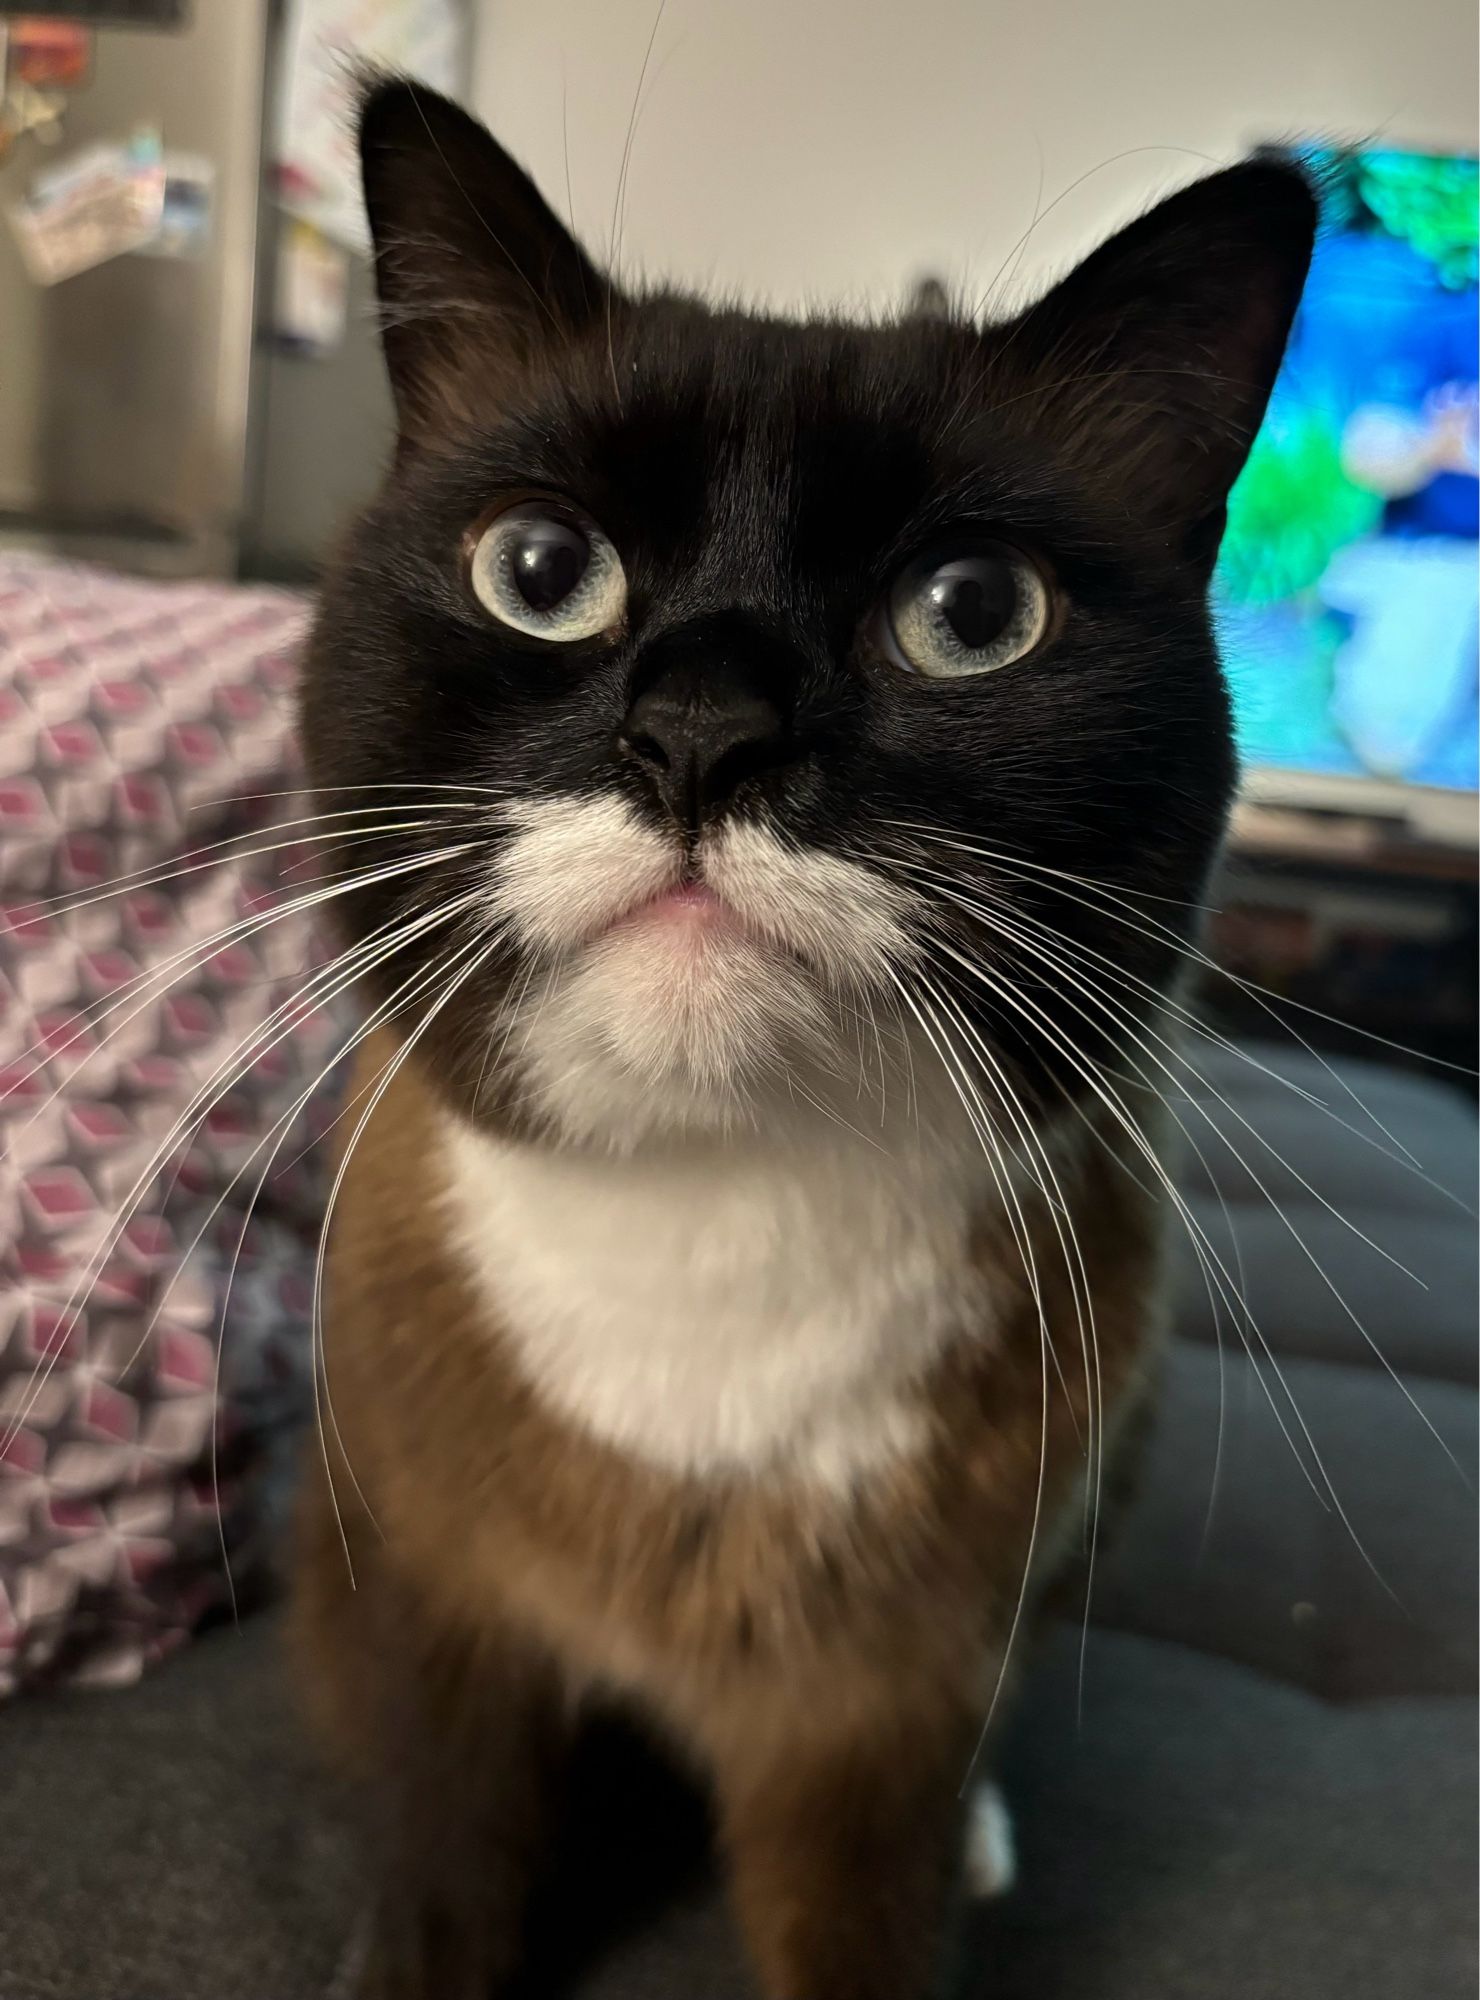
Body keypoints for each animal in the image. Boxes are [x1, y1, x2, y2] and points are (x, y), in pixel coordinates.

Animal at [292, 78, 1320, 2000]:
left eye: (974, 616)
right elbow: (443, 1867)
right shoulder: (442, 1621)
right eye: (541, 572)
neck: (707, 1243)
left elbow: (868, 1925)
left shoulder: (876, 1725)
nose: (703, 733)